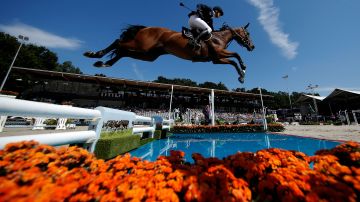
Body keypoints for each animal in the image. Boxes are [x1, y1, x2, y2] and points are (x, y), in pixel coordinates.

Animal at [83, 23, 255, 83]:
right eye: (248, 34)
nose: (252, 47)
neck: (219, 37)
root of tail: (145, 28)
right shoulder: (218, 54)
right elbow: (236, 55)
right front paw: (243, 70)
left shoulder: (216, 59)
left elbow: (233, 60)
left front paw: (242, 74)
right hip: (141, 45)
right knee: (118, 43)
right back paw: (95, 54)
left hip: (148, 55)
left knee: (123, 52)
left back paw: (104, 63)